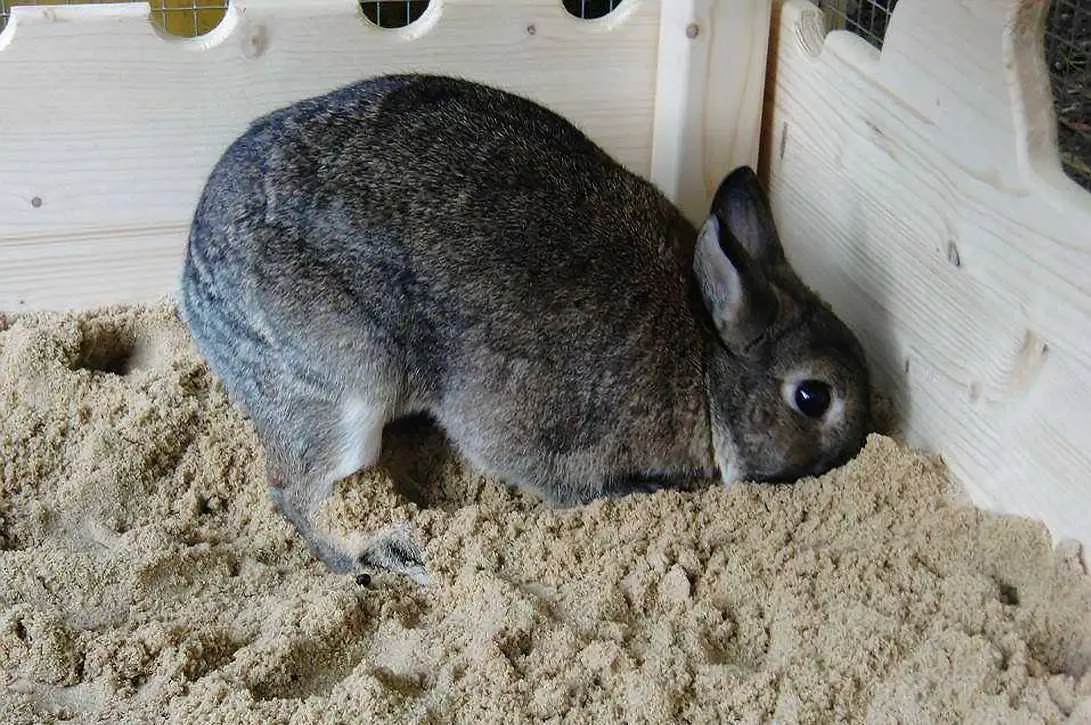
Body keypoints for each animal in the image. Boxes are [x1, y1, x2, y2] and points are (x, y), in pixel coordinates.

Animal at [183, 71, 872, 584]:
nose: (851, 458)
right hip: (344, 388)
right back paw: (383, 558)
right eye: (813, 397)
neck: (707, 368)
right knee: (294, 492)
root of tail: (196, 284)